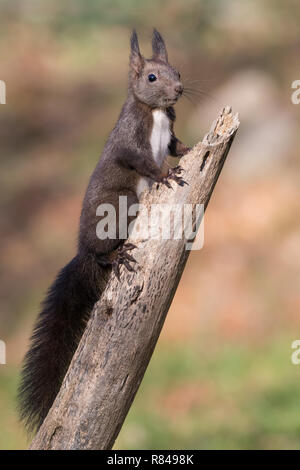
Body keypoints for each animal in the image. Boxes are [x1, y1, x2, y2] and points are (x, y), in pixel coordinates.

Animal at [17, 28, 190, 434]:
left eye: (176, 70)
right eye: (151, 77)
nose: (179, 89)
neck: (155, 113)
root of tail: (81, 252)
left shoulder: (169, 133)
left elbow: (175, 145)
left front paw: (190, 149)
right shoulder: (130, 142)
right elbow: (141, 160)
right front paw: (164, 174)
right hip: (120, 204)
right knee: (102, 252)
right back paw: (116, 253)